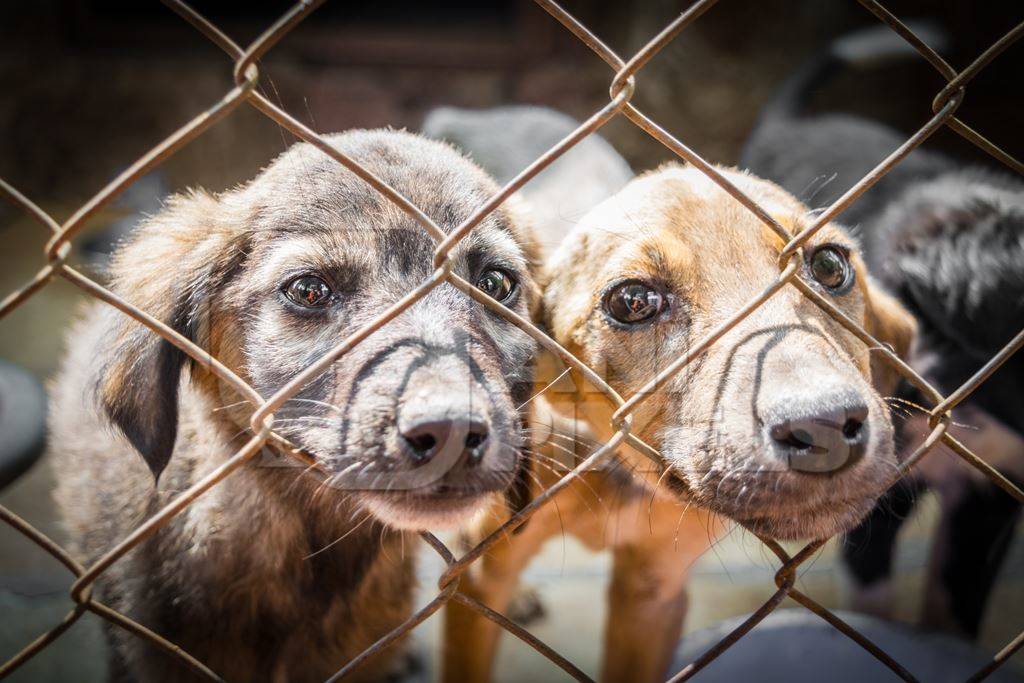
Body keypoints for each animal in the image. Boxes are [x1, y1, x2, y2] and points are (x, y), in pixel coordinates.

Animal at [440, 165, 913, 683]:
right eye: (632, 300)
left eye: (829, 264)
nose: (825, 425)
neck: (618, 467)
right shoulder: (480, 578)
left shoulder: (653, 592)